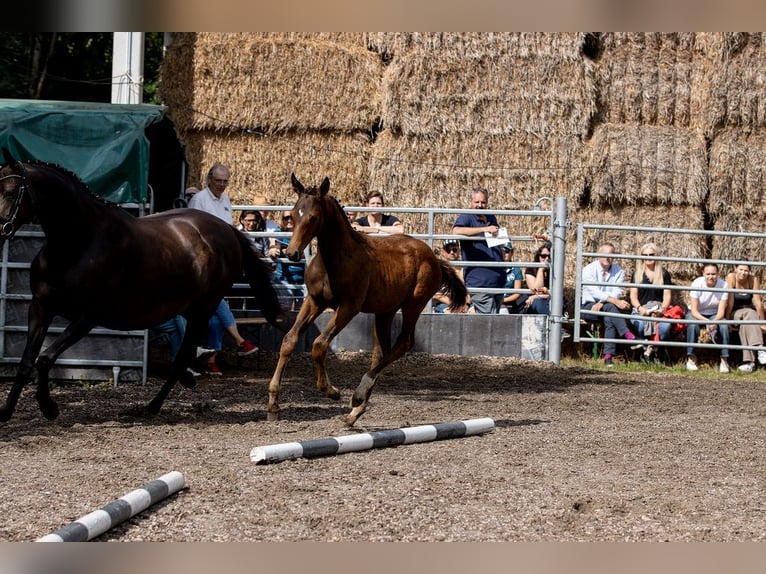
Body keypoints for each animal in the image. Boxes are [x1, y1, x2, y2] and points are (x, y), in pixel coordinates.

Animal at [0, 153, 284, 424]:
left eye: (11, 191)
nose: (0, 229)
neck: (78, 244)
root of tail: (227, 229)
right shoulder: (40, 307)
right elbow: (27, 361)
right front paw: (6, 411)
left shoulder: (88, 317)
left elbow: (45, 358)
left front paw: (49, 408)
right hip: (189, 307)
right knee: (184, 352)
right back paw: (183, 381)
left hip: (205, 307)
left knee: (183, 354)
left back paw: (153, 405)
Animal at [268, 173, 468, 426]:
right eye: (293, 215)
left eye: (313, 217)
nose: (292, 253)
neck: (335, 259)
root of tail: (434, 258)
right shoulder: (314, 301)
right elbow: (289, 340)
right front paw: (273, 404)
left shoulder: (349, 307)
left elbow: (319, 344)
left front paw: (331, 390)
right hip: (385, 311)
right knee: (383, 350)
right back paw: (357, 409)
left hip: (414, 304)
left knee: (404, 343)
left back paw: (358, 395)